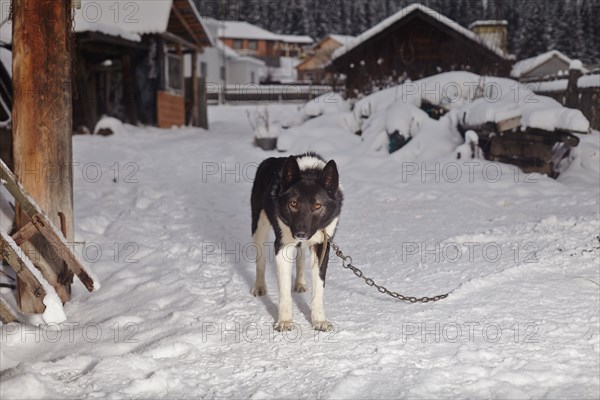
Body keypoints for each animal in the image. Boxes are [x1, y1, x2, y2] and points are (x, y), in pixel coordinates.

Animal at [250, 153, 342, 332]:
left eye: (317, 205)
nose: (300, 233)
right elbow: (284, 290)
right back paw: (260, 286)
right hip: (259, 228)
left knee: (300, 257)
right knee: (260, 260)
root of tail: (270, 159)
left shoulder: (322, 246)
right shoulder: (283, 247)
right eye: (293, 203)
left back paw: (300, 283)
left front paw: (319, 321)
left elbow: (319, 289)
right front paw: (285, 321)